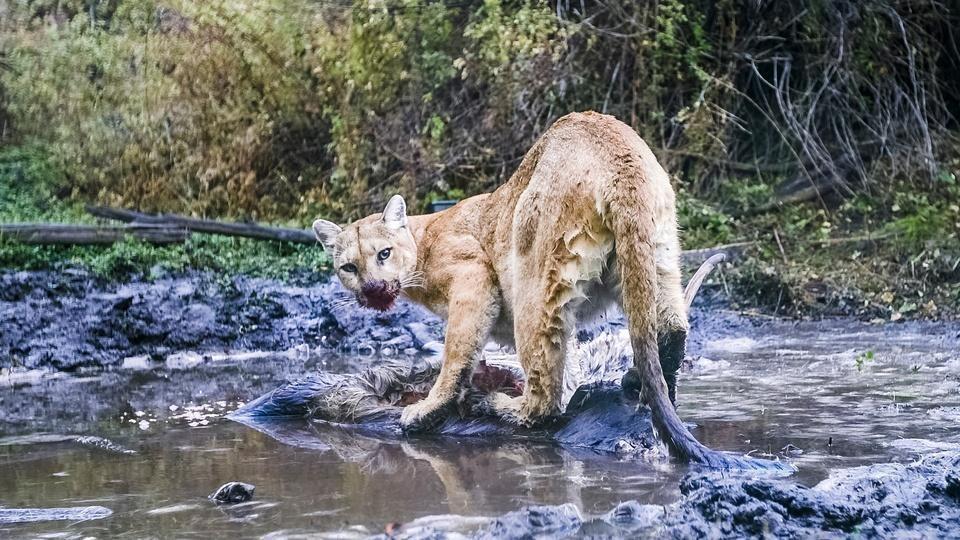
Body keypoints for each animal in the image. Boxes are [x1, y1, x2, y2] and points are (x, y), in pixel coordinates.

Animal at [313, 111, 750, 467]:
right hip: (656, 256)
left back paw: (501, 406)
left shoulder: (473, 278)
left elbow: (456, 355)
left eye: (383, 253)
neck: (423, 240)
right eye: (349, 267)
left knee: (545, 401)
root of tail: (616, 149)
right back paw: (637, 384)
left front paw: (425, 410)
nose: (372, 289)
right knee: (671, 328)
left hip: (534, 278)